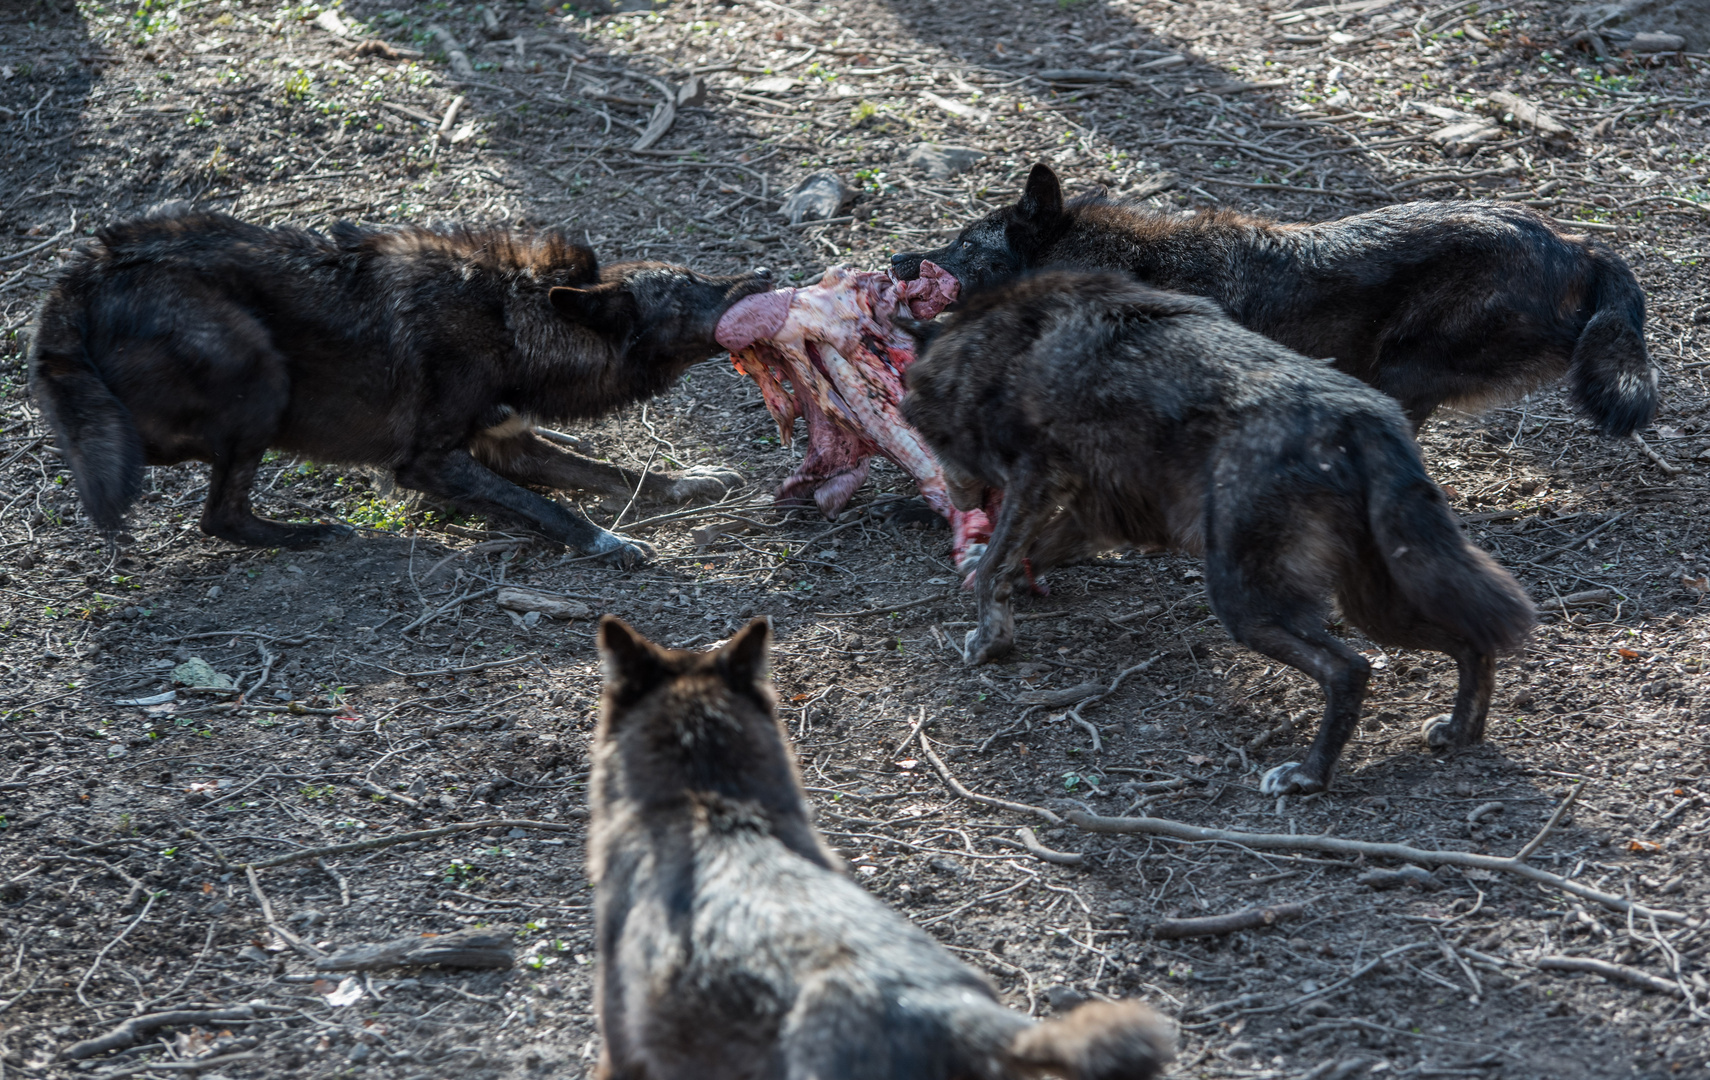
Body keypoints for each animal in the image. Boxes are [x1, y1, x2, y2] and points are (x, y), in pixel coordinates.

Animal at [28, 204, 769, 563]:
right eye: (692, 286)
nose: (763, 272)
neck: (510, 320)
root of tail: (83, 270)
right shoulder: (430, 463)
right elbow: (552, 507)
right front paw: (608, 544)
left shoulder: (507, 444)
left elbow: (619, 474)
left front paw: (691, 484)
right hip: (260, 378)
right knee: (214, 514)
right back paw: (309, 536)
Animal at [896, 270, 1539, 792]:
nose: (951, 496)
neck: (992, 347)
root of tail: (1363, 417)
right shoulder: (1098, 512)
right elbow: (1027, 553)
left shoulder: (1035, 477)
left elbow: (999, 562)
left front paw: (989, 636)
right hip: (1377, 603)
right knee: (1471, 641)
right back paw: (1460, 732)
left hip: (1246, 603)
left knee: (1350, 669)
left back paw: (1309, 776)